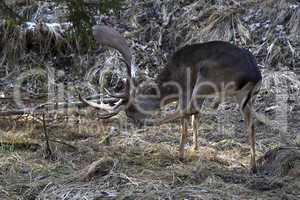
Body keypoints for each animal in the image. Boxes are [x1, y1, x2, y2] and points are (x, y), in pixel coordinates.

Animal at [81, 24, 262, 172]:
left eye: (131, 112)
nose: (137, 124)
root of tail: (254, 75)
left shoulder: (186, 89)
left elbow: (187, 119)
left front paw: (183, 152)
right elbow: (195, 119)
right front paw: (195, 148)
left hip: (206, 78)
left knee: (187, 110)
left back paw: (172, 145)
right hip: (246, 97)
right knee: (251, 124)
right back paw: (252, 166)